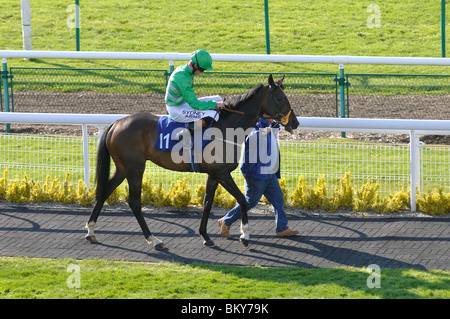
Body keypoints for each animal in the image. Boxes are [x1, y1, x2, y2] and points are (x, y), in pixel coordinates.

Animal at [86, 75, 300, 250]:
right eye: (280, 98)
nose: (295, 122)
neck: (227, 127)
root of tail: (115, 124)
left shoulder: (214, 174)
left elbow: (207, 202)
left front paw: (205, 236)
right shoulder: (222, 173)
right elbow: (242, 200)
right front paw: (245, 235)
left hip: (123, 168)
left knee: (104, 192)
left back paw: (91, 231)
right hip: (135, 169)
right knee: (134, 202)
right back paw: (154, 240)